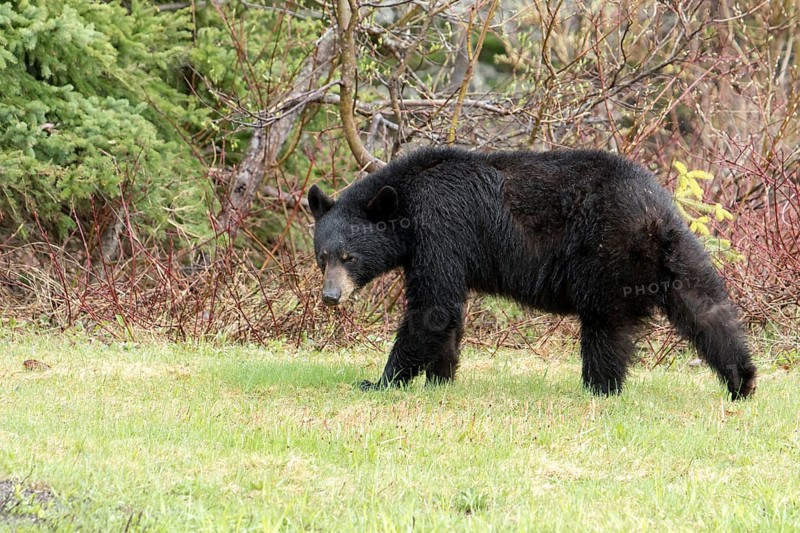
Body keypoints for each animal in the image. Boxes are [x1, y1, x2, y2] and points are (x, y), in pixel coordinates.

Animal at [307, 147, 757, 400]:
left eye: (348, 257)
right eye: (321, 256)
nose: (330, 296)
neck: (408, 199)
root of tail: (655, 210)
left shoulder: (442, 227)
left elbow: (432, 307)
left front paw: (381, 381)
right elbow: (448, 313)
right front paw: (441, 377)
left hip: (605, 255)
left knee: (604, 327)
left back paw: (600, 388)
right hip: (676, 255)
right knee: (707, 308)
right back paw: (742, 380)